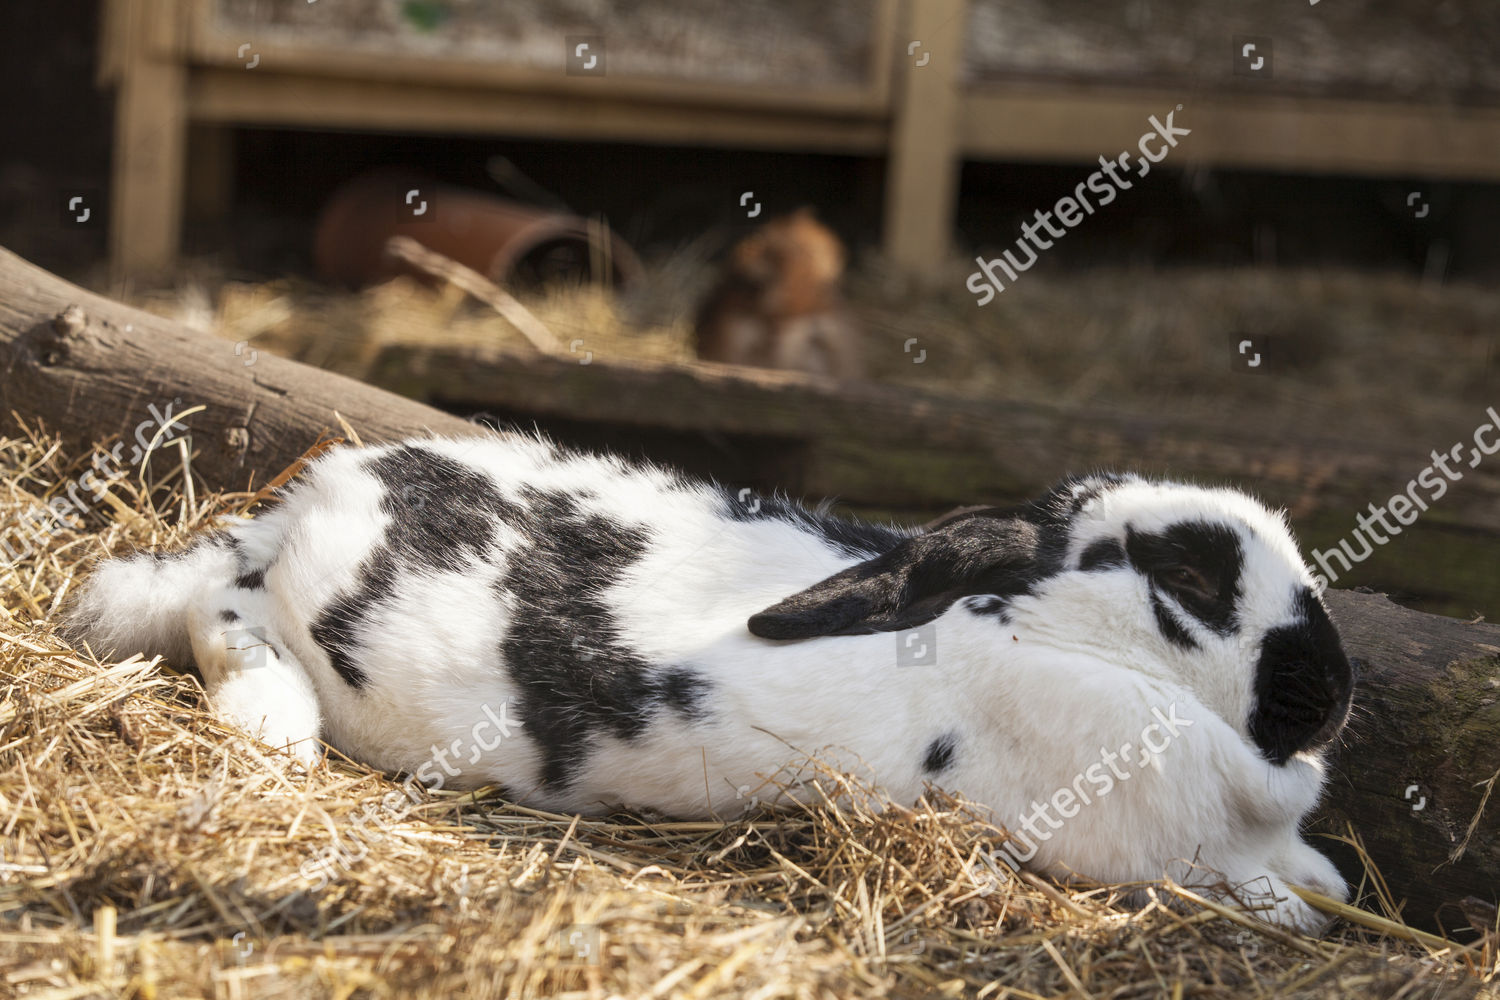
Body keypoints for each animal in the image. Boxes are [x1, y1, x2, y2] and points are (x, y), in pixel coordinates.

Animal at [67, 434, 1362, 935]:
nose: (1336, 691)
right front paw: (1299, 907)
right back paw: (271, 727)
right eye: (1187, 580)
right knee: (219, 609)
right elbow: (1267, 895)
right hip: (299, 616)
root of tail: (321, 491)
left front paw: (1327, 881)